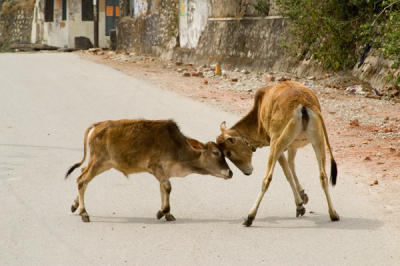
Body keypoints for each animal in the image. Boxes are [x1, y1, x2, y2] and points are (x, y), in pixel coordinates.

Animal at [66, 119, 233, 222]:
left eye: (225, 153)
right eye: (216, 153)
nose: (230, 173)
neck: (177, 147)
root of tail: (97, 125)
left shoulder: (163, 172)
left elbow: (163, 190)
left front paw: (168, 214)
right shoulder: (156, 167)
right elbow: (167, 187)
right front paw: (162, 212)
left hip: (102, 164)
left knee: (82, 173)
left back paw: (75, 205)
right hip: (98, 162)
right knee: (82, 180)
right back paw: (84, 213)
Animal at [217, 81, 340, 227]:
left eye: (228, 153)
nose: (247, 172)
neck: (258, 113)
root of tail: (303, 104)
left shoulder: (276, 144)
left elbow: (287, 173)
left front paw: (300, 205)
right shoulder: (292, 146)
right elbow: (291, 166)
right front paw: (302, 196)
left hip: (278, 143)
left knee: (267, 179)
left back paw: (250, 217)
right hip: (318, 141)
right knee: (323, 176)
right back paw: (333, 214)